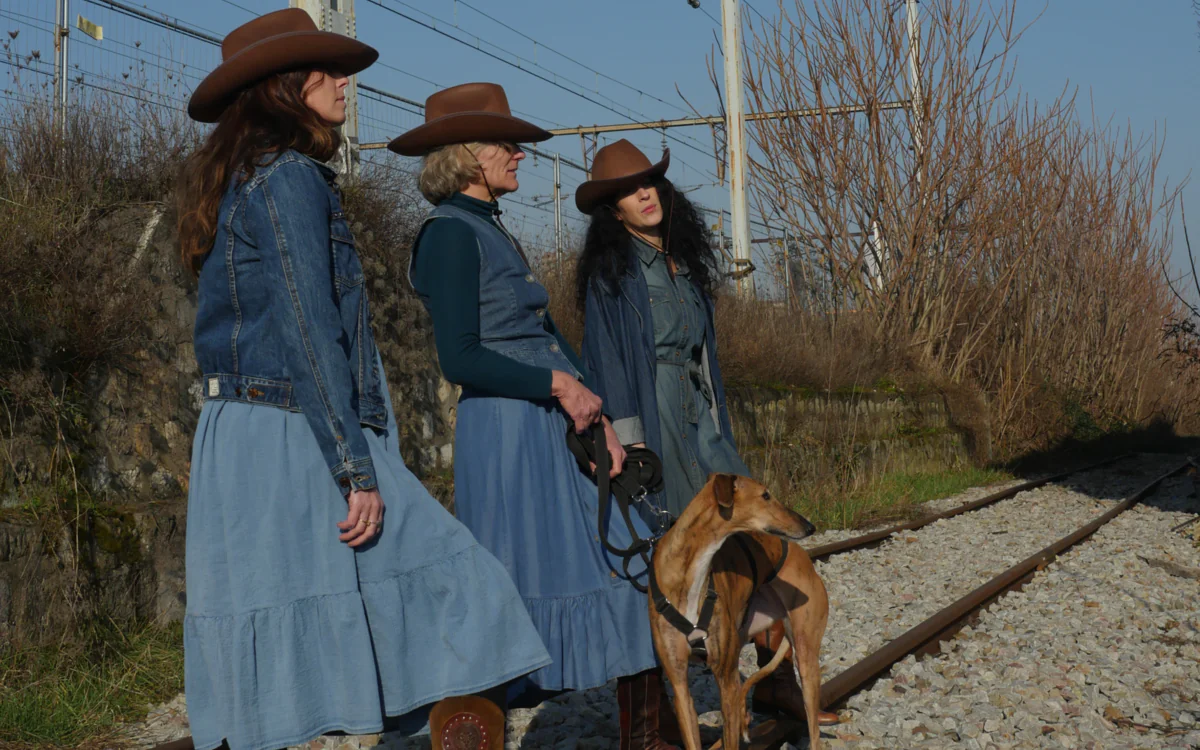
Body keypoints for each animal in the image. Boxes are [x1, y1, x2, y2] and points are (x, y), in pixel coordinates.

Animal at [648, 472, 825, 748]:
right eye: (765, 495)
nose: (809, 526)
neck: (689, 570)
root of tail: (804, 558)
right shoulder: (679, 685)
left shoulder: (727, 680)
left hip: (806, 662)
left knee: (813, 728)